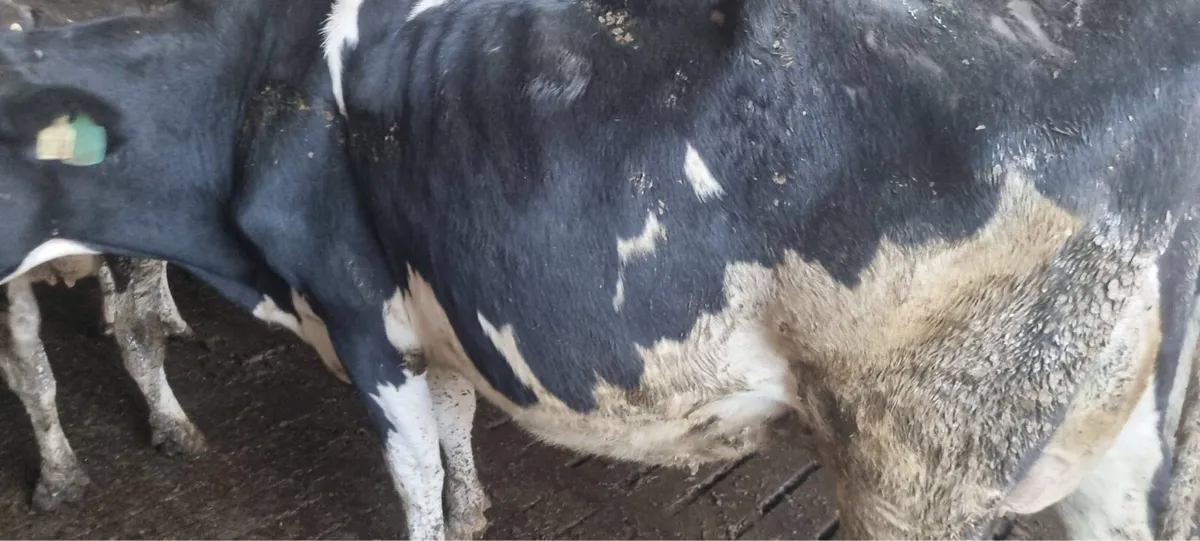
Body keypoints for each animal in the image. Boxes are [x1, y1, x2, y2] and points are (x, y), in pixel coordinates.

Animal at [3, 0, 1200, 540]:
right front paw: (480, 508)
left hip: (919, 463)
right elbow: (457, 425)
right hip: (1125, 459)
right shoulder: (435, 312)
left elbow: (411, 472)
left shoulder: (356, 315)